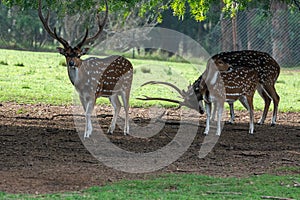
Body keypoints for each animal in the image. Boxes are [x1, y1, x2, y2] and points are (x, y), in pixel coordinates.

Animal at [38, 0, 134, 138]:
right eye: (66, 54)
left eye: (79, 55)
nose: (72, 63)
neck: (82, 84)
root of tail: (130, 62)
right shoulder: (81, 95)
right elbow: (85, 112)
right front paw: (89, 131)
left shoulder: (94, 93)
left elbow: (88, 113)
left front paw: (86, 134)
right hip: (111, 92)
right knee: (118, 106)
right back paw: (110, 129)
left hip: (126, 86)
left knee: (127, 106)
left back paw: (126, 131)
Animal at [139, 50, 280, 135]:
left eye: (192, 100)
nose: (200, 111)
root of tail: (278, 66)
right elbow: (219, 109)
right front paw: (211, 127)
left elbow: (220, 110)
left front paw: (218, 127)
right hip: (259, 86)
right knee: (267, 99)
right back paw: (261, 121)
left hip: (265, 82)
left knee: (273, 99)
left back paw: (267, 123)